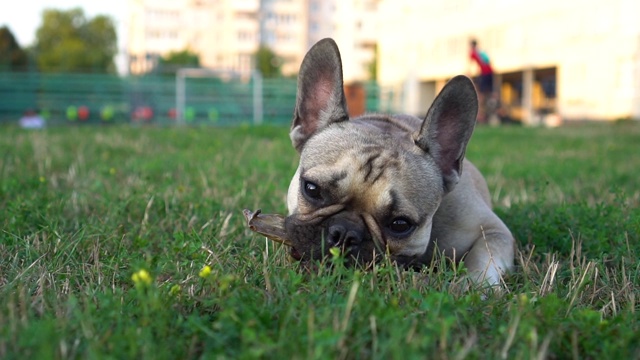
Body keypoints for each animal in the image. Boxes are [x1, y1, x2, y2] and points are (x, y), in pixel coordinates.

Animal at [282, 38, 512, 286]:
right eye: (312, 189)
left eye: (400, 224)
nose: (344, 232)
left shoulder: (493, 231)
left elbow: (483, 259)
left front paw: (474, 285)